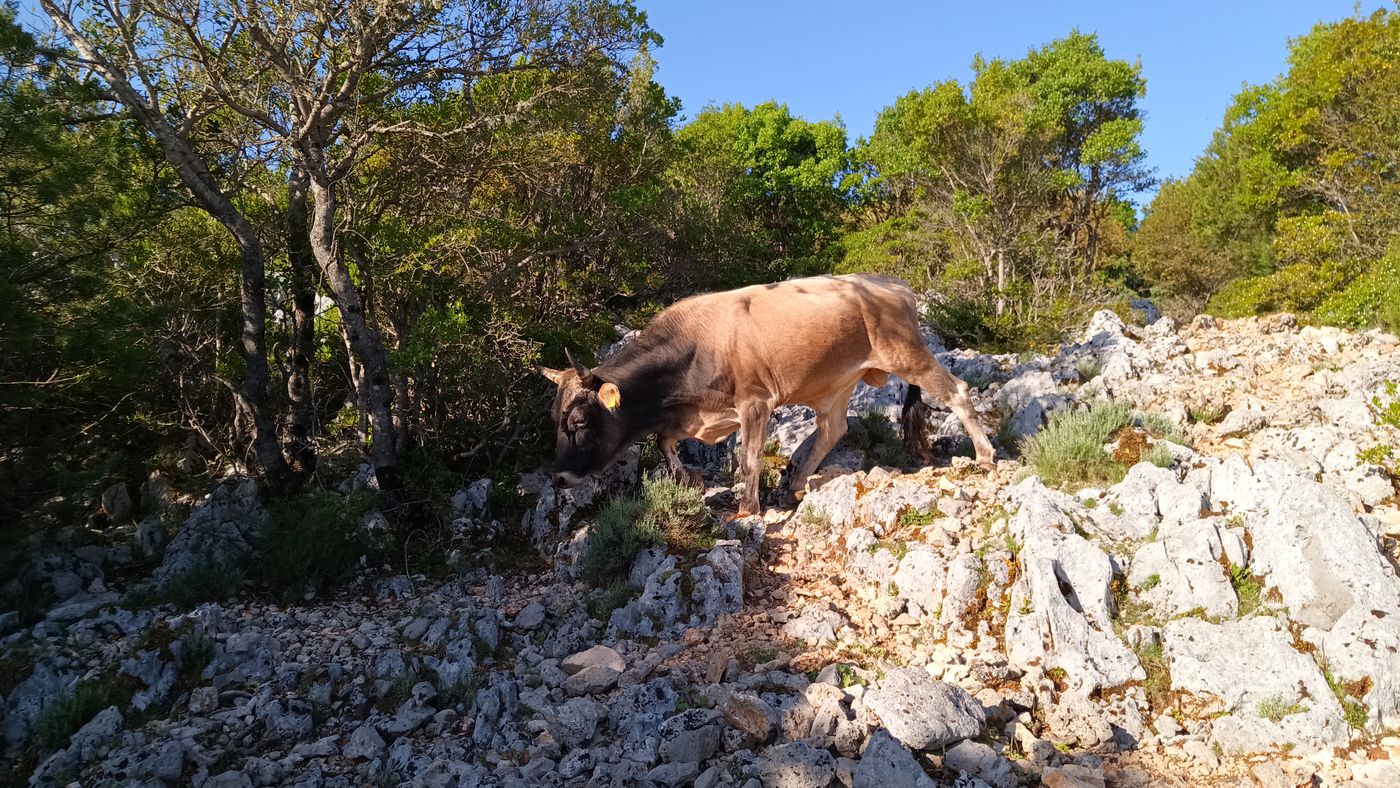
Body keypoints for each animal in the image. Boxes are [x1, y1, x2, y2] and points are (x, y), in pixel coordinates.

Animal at [540, 273, 995, 516]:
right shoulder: (702, 414)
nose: (558, 477)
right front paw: (688, 477)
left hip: (908, 354)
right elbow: (665, 442)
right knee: (833, 429)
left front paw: (748, 509)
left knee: (958, 390)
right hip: (838, 382)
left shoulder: (754, 402)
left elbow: (750, 458)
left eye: (578, 422)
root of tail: (893, 283)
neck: (693, 347)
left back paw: (985, 456)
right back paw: (797, 484)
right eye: (554, 419)